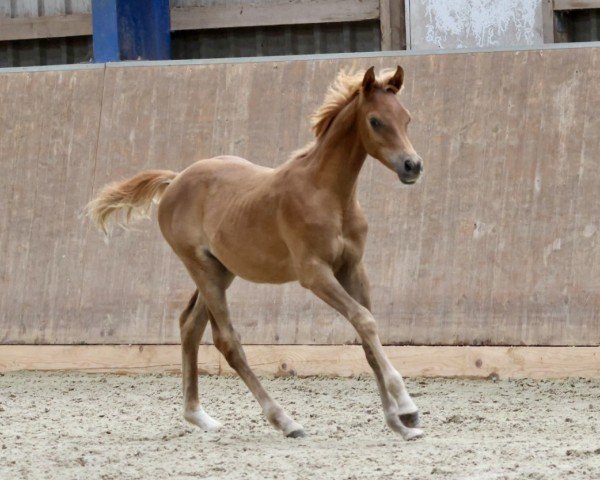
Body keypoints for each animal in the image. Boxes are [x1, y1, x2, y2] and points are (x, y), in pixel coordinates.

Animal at [89, 66, 426, 438]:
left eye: (407, 118)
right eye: (375, 120)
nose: (412, 165)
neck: (328, 194)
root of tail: (176, 179)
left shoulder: (352, 267)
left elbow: (366, 336)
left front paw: (399, 422)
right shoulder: (314, 273)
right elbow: (364, 321)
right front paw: (407, 408)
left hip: (221, 270)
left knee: (190, 326)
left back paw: (198, 416)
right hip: (201, 268)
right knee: (228, 341)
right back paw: (285, 421)